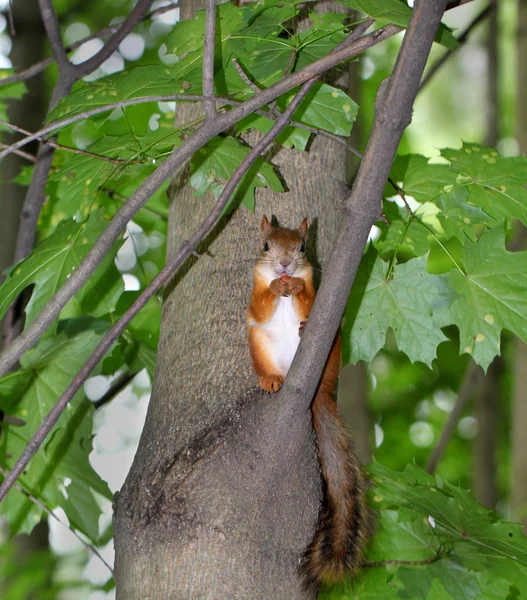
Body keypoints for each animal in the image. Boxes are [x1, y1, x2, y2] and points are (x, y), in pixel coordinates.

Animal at [246, 217, 364, 584]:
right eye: (266, 246)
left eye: (301, 247)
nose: (285, 266)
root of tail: (317, 394)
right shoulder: (253, 297)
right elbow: (260, 304)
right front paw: (277, 287)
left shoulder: (316, 291)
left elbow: (310, 299)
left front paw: (295, 285)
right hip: (258, 343)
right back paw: (271, 379)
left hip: (331, 348)